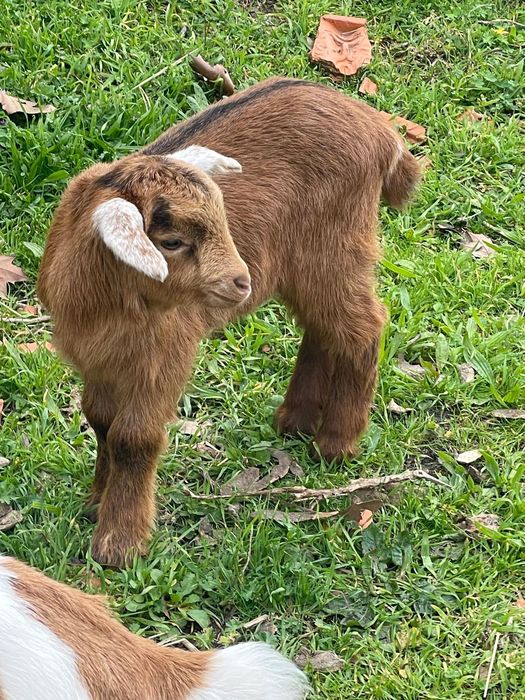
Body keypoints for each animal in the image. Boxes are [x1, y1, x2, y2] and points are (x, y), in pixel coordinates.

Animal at [37, 77, 421, 567]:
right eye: (171, 241)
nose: (241, 281)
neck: (106, 303)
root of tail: (382, 131)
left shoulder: (164, 354)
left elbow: (132, 438)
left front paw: (120, 547)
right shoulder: (99, 362)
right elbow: (101, 422)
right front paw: (93, 505)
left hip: (336, 247)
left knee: (363, 326)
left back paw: (335, 444)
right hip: (308, 263)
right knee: (322, 328)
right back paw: (294, 421)